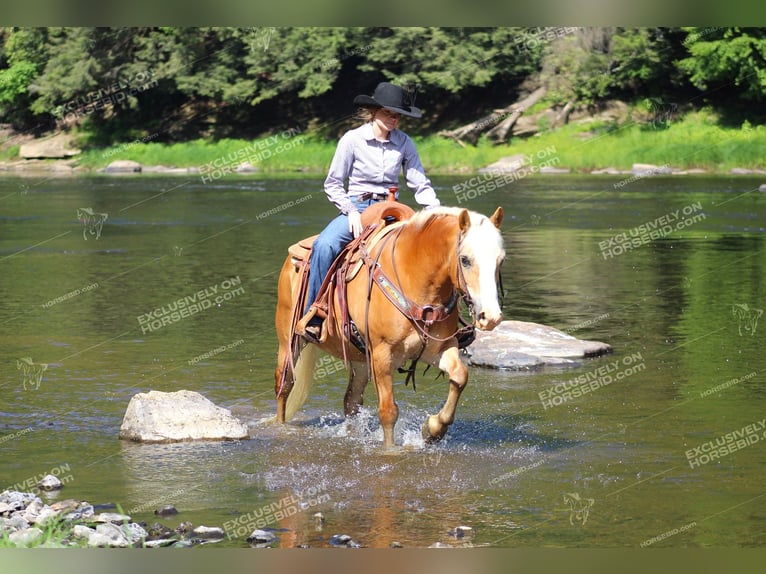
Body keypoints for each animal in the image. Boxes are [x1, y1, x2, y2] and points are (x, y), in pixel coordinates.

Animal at [272, 205, 508, 452]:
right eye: (465, 259)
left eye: (500, 260)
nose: (490, 317)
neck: (415, 280)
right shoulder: (382, 354)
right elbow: (388, 412)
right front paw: (391, 451)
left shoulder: (438, 348)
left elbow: (460, 375)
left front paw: (432, 430)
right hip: (289, 341)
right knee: (284, 384)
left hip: (360, 358)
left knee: (351, 401)